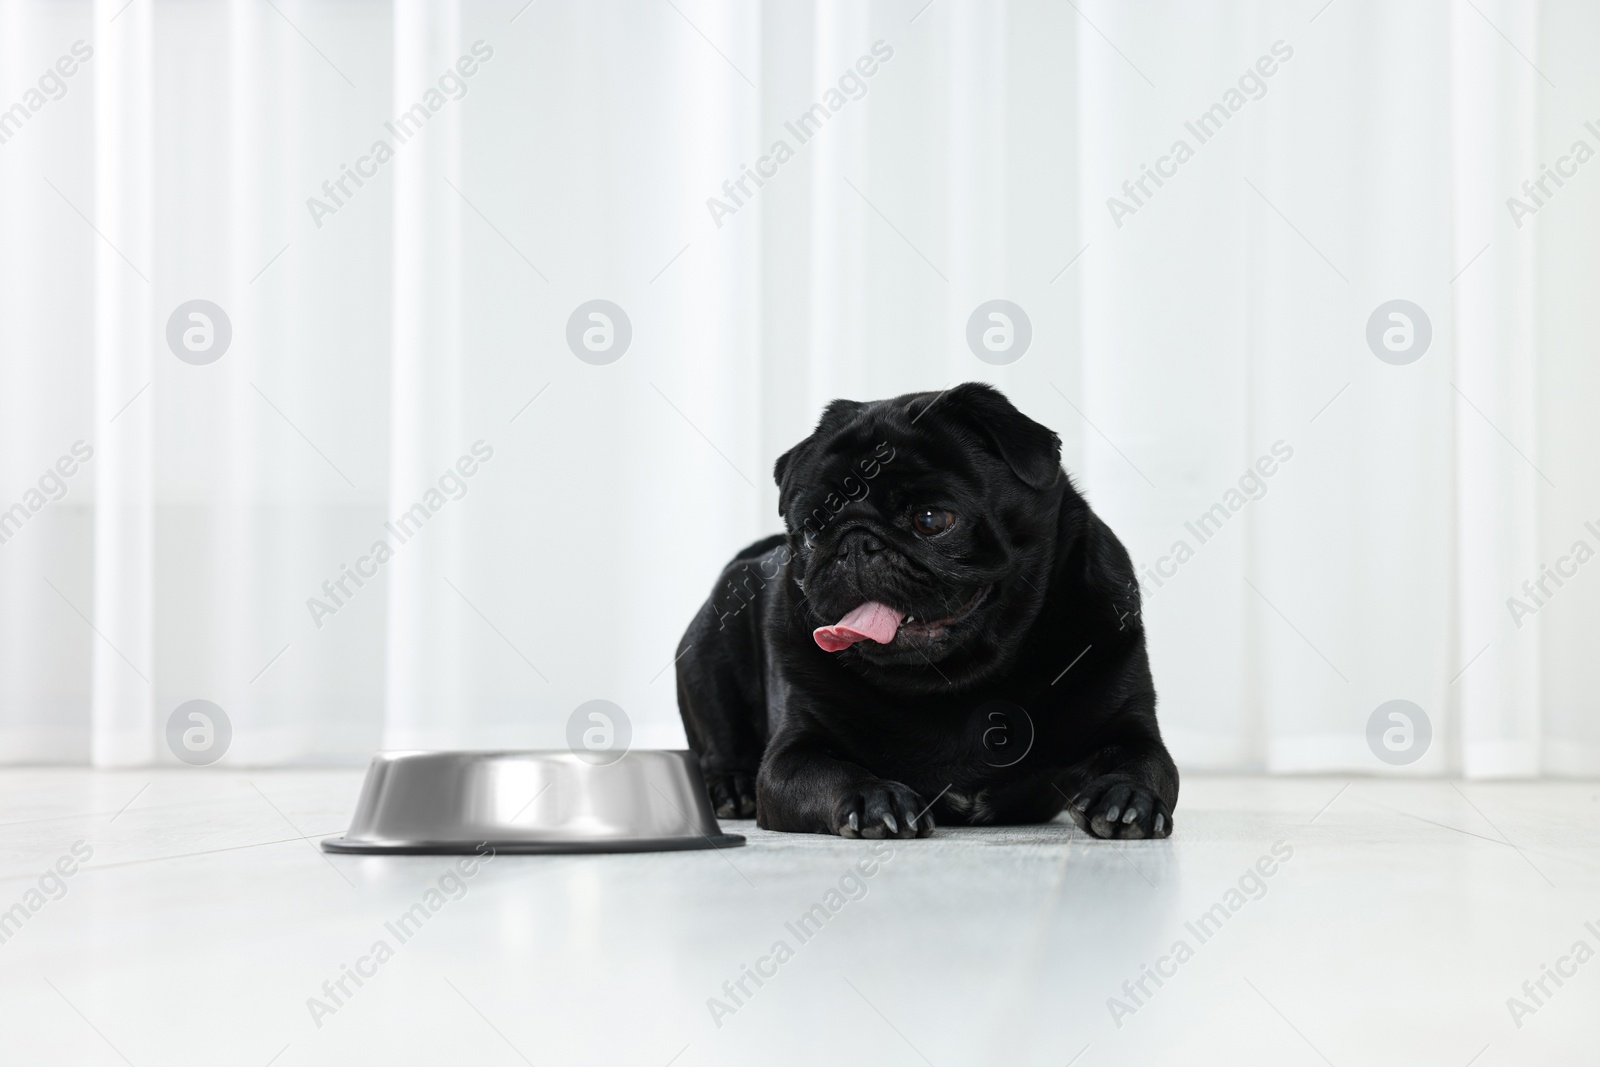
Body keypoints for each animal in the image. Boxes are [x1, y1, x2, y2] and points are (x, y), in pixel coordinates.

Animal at [672, 383, 1177, 844]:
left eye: (931, 520)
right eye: (813, 531)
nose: (855, 541)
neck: (956, 682)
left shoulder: (1130, 728)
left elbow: (1148, 762)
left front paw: (1126, 793)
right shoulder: (792, 755)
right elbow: (830, 773)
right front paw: (874, 797)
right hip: (709, 649)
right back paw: (731, 787)